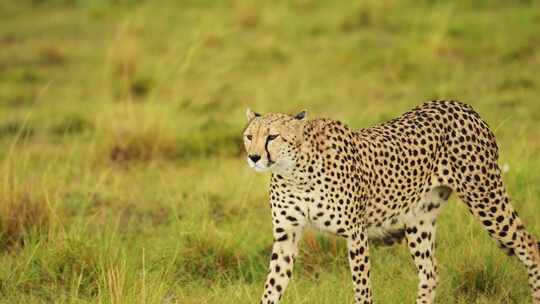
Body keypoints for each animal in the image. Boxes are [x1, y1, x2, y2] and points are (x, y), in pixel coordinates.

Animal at [244, 100, 540, 304]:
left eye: (272, 136)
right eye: (249, 136)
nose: (254, 157)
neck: (295, 172)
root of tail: (460, 105)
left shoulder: (356, 234)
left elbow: (362, 288)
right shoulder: (287, 235)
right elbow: (272, 286)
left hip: (485, 197)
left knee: (530, 246)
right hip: (419, 219)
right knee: (430, 273)